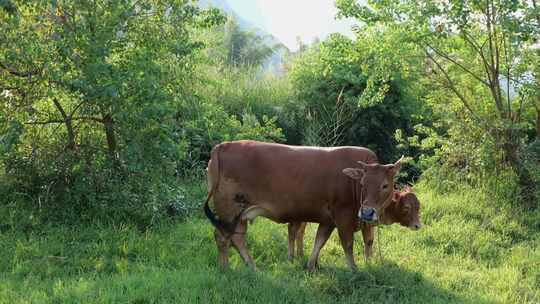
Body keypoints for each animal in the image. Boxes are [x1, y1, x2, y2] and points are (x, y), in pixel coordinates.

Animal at [205, 140, 402, 270]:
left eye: (385, 185)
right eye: (363, 184)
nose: (368, 213)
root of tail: (222, 146)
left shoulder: (329, 220)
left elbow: (320, 241)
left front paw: (311, 265)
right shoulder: (343, 216)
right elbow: (347, 244)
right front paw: (354, 270)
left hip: (239, 214)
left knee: (237, 238)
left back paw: (252, 267)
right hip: (229, 209)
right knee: (222, 237)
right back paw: (225, 268)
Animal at [286, 188, 422, 262]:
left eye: (418, 206)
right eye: (406, 207)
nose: (417, 226)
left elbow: (370, 241)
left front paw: (371, 259)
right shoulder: (365, 224)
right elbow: (368, 241)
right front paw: (368, 261)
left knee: (300, 232)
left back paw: (300, 254)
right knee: (293, 231)